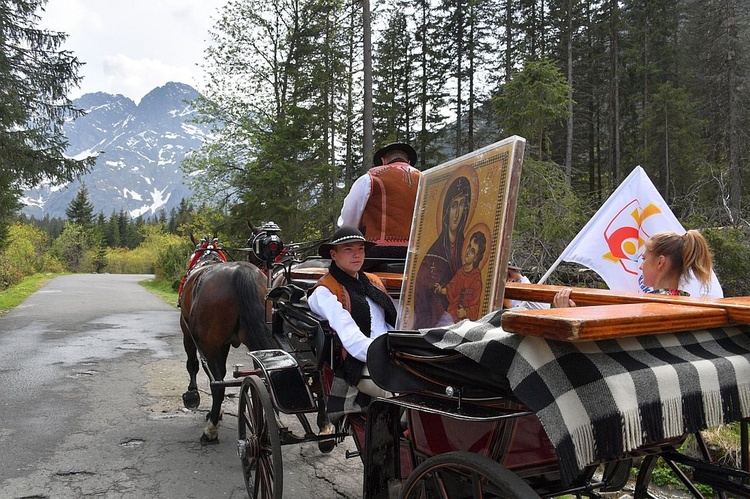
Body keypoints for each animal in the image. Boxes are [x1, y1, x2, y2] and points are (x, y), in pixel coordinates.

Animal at [179, 238, 280, 446]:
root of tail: (241, 273)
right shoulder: (223, 344)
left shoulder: (188, 332)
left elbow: (193, 365)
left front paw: (193, 395)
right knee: (263, 377)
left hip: (209, 344)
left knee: (217, 385)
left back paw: (210, 430)